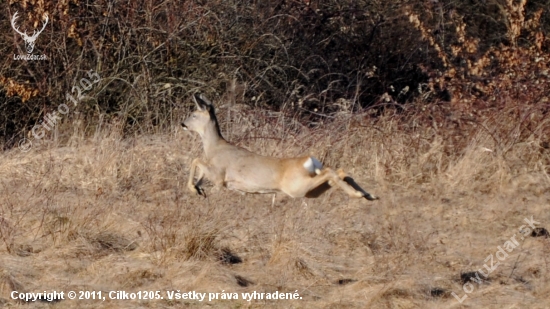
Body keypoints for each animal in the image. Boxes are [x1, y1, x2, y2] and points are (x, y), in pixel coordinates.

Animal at [182, 93, 380, 200]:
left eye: (193, 114)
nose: (182, 124)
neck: (214, 147)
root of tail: (309, 160)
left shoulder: (219, 176)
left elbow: (195, 160)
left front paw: (193, 189)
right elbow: (199, 167)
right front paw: (198, 188)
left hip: (296, 187)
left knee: (332, 172)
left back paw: (360, 195)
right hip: (310, 190)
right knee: (340, 172)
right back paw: (368, 195)